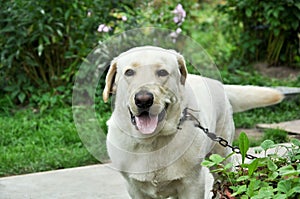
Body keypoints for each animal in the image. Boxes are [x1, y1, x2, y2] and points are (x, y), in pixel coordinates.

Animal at [102, 45, 282, 198]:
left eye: (162, 72)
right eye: (129, 72)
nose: (143, 99)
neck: (152, 140)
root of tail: (218, 83)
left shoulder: (193, 183)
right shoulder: (134, 188)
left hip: (221, 157)